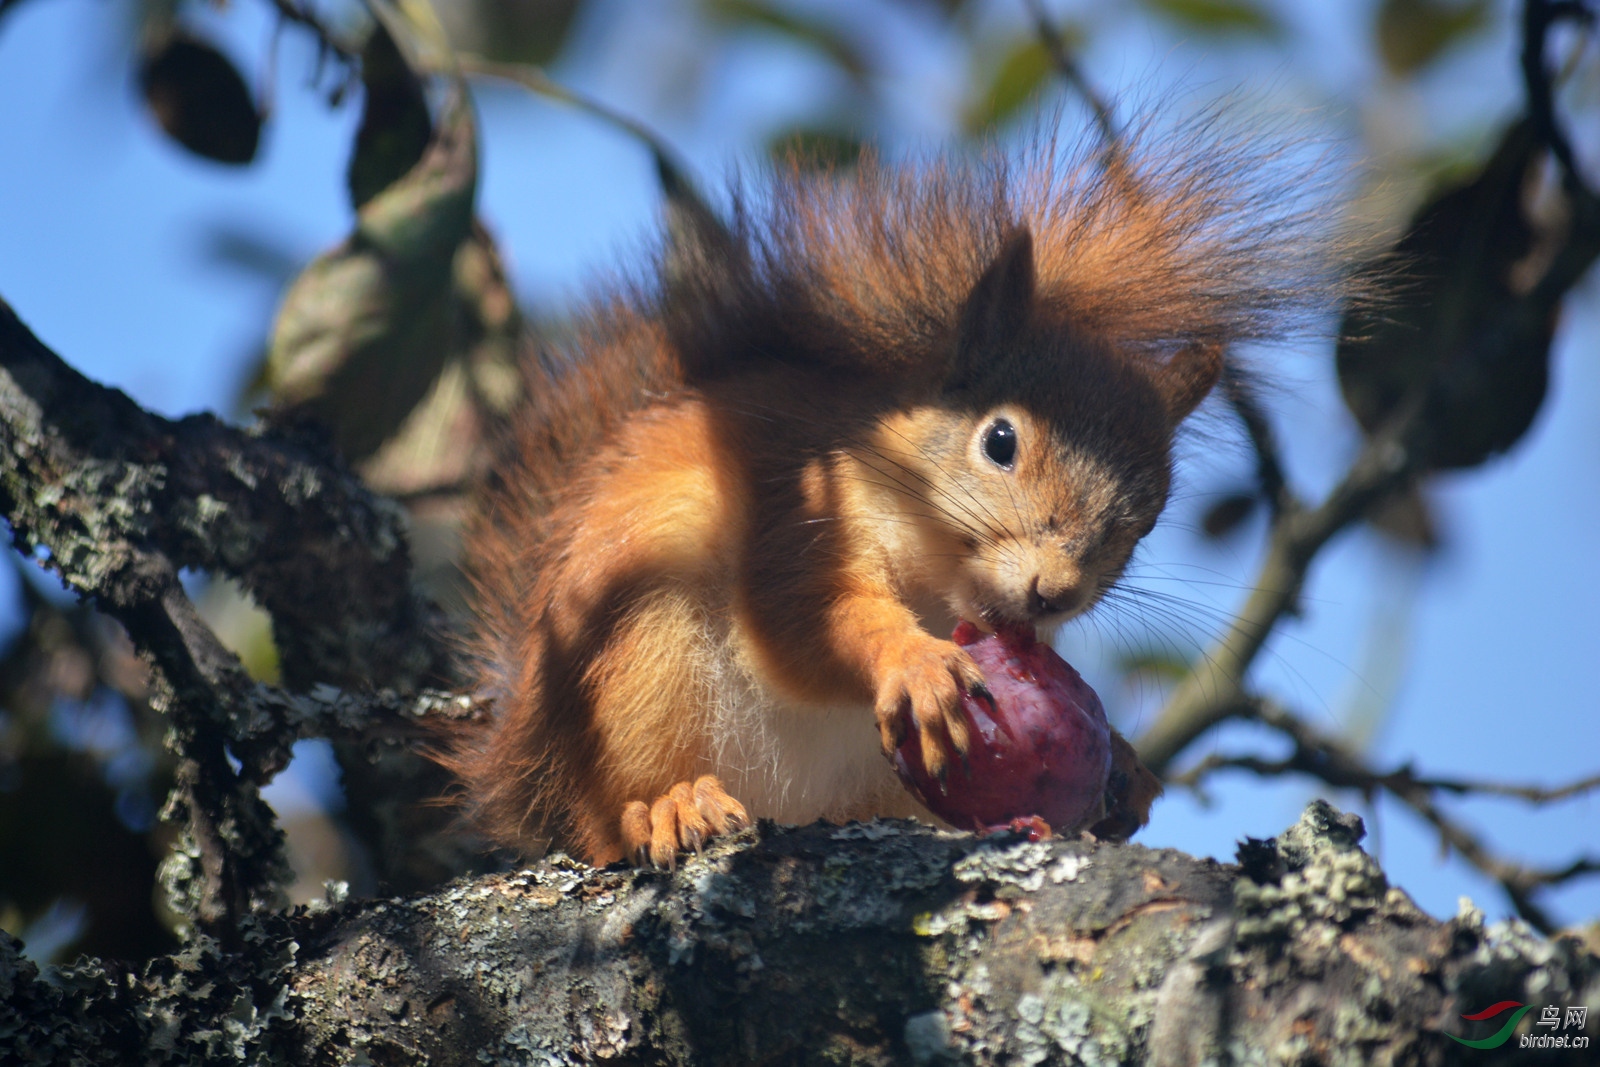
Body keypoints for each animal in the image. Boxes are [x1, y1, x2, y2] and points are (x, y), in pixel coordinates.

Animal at [441, 119, 1350, 870]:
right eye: (1000, 441)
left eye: (1152, 514)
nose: (1054, 591)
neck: (934, 577)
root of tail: (524, 767)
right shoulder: (793, 507)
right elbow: (801, 625)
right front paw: (911, 659)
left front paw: (1126, 766)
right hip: (640, 651)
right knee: (604, 818)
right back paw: (667, 806)